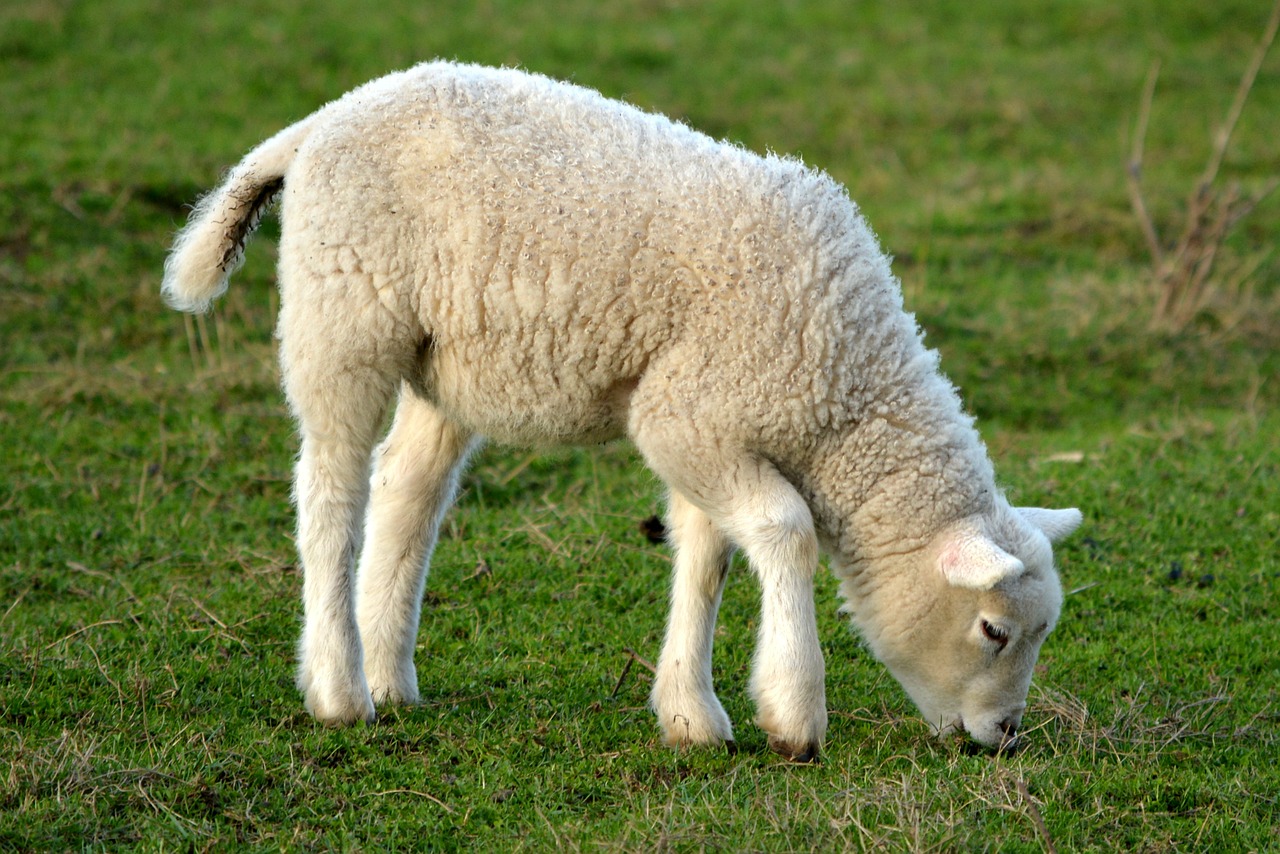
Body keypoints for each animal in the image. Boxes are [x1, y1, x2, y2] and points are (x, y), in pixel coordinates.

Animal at [163, 61, 1082, 761]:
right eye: (995, 631)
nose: (1005, 736)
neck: (843, 402)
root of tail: (320, 122)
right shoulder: (689, 412)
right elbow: (786, 531)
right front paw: (793, 713)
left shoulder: (703, 432)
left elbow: (706, 558)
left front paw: (690, 713)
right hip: (344, 314)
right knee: (330, 493)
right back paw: (340, 690)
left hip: (445, 362)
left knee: (407, 490)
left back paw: (391, 674)